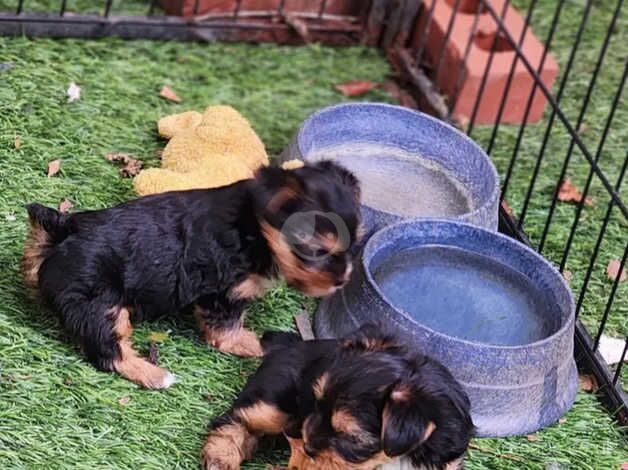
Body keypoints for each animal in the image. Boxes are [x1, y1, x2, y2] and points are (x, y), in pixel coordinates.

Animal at [22, 162, 364, 390]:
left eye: (355, 243)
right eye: (316, 251)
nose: (342, 280)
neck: (256, 225)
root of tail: (60, 234)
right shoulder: (224, 292)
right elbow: (226, 329)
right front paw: (256, 343)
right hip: (98, 301)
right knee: (107, 348)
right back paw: (155, 375)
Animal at [204, 324, 474, 470]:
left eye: (349, 438)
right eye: (316, 403)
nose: (306, 445)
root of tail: (287, 345)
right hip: (278, 399)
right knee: (240, 418)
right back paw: (221, 456)